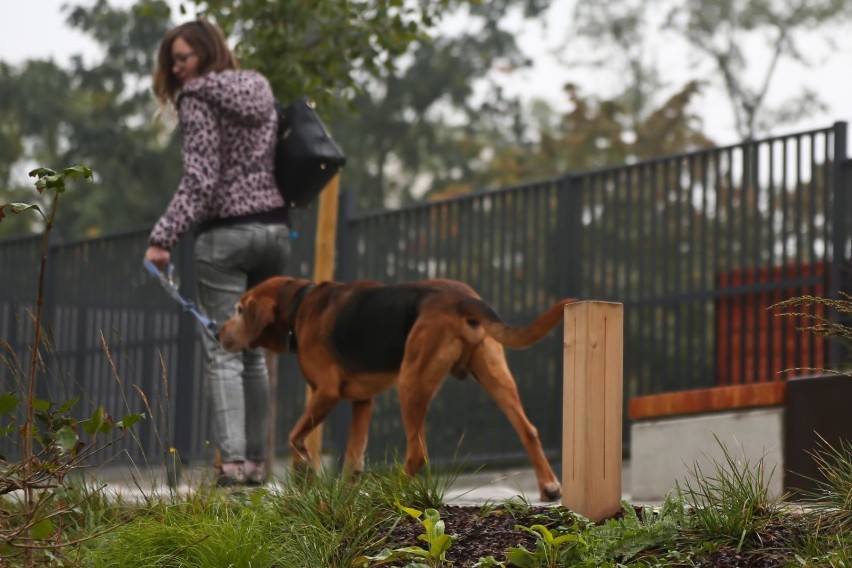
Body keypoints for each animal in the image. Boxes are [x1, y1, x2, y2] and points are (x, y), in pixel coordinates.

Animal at [216, 276, 576, 502]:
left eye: (239, 310)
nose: (218, 333)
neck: (299, 304)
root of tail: (463, 298)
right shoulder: (362, 401)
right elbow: (353, 458)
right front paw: (344, 493)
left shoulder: (326, 394)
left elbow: (294, 436)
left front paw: (304, 470)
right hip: (495, 374)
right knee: (527, 430)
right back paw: (549, 487)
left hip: (410, 382)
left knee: (417, 454)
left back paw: (395, 491)